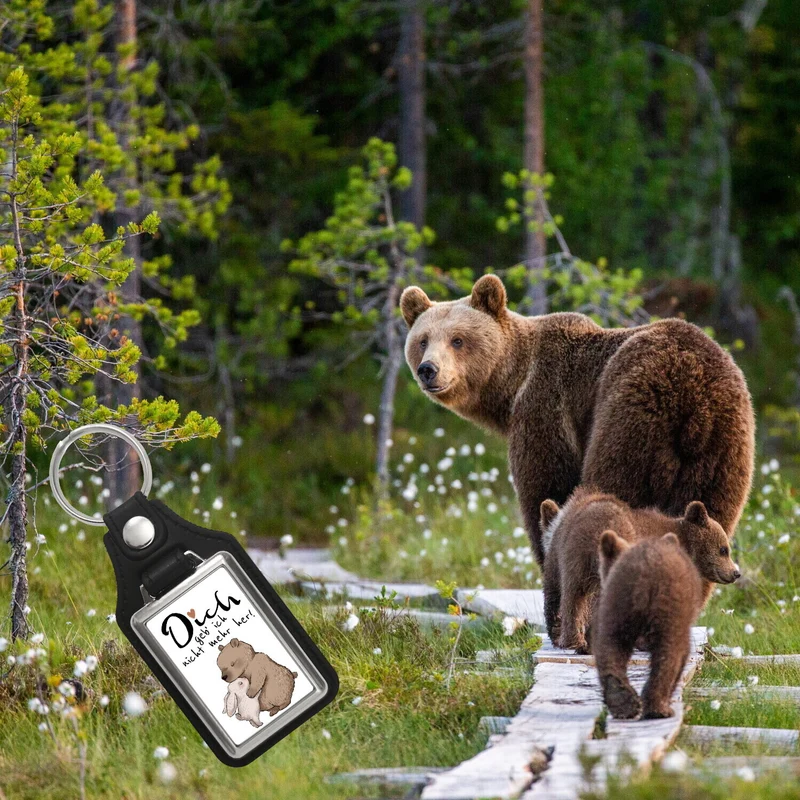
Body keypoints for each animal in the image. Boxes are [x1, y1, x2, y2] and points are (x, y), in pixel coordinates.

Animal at [400, 275, 755, 569]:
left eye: (458, 339)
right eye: (423, 340)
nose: (428, 370)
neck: (512, 386)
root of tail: (695, 401)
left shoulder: (547, 407)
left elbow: (546, 486)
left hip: (632, 418)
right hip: (724, 450)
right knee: (711, 516)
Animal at [594, 530, 713, 720]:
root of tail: (643, 571)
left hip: (617, 604)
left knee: (611, 646)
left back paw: (622, 702)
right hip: (670, 608)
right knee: (670, 653)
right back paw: (659, 708)